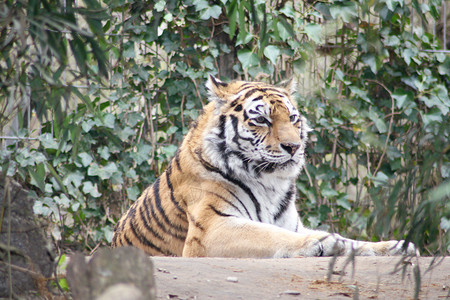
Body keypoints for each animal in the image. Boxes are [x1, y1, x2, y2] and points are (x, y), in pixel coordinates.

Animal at [110, 75, 416, 258]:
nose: (294, 147)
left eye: (292, 118)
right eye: (262, 120)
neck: (270, 182)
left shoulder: (292, 224)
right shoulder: (211, 228)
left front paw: (395, 246)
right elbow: (270, 235)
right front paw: (322, 243)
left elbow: (353, 241)